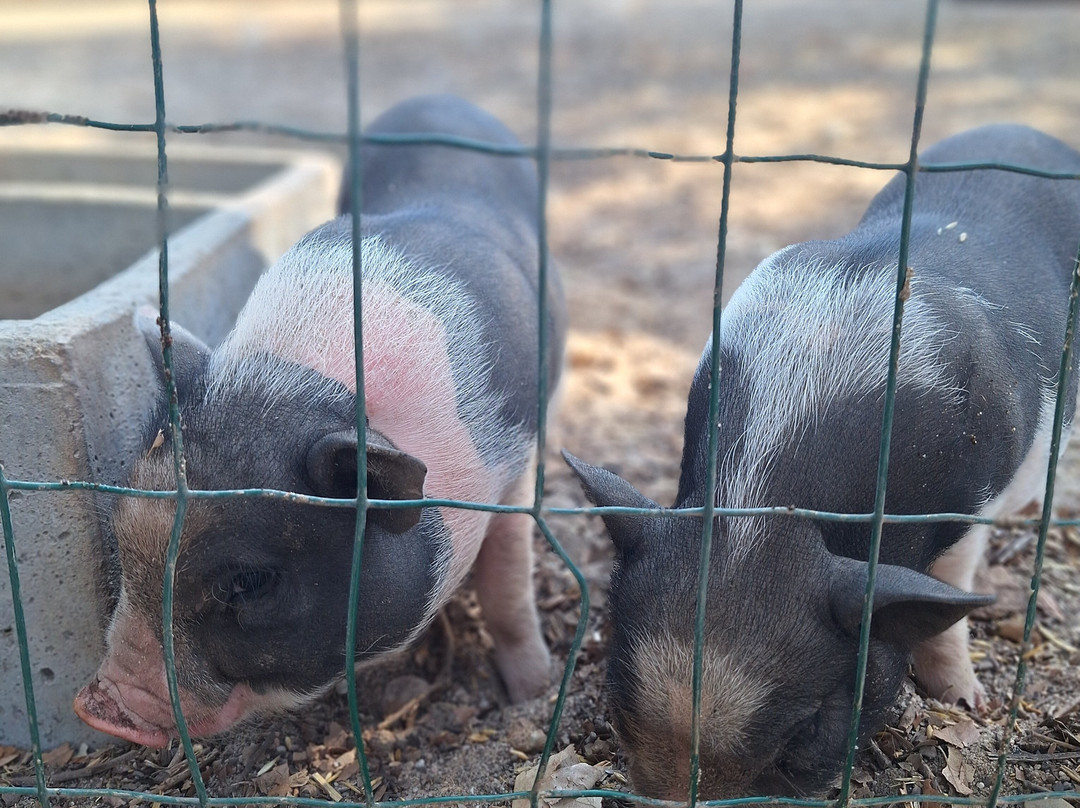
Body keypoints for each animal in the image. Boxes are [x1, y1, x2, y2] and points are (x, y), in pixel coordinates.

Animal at [74, 94, 566, 746]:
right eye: (121, 534)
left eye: (251, 582)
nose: (96, 705)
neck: (309, 379)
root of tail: (441, 98)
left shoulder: (516, 460)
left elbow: (508, 584)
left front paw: (533, 693)